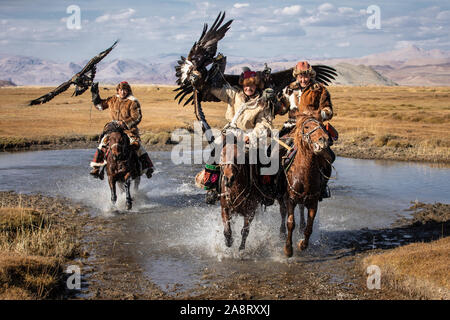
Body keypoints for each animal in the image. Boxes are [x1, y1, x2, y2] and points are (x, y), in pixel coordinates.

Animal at [280, 115, 332, 258]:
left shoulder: (313, 201)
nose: (324, 140)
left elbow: (310, 226)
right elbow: (290, 223)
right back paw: (281, 233)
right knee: (282, 212)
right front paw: (288, 249)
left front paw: (302, 244)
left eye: (321, 124)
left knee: (302, 209)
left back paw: (301, 226)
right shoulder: (290, 199)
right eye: (307, 127)